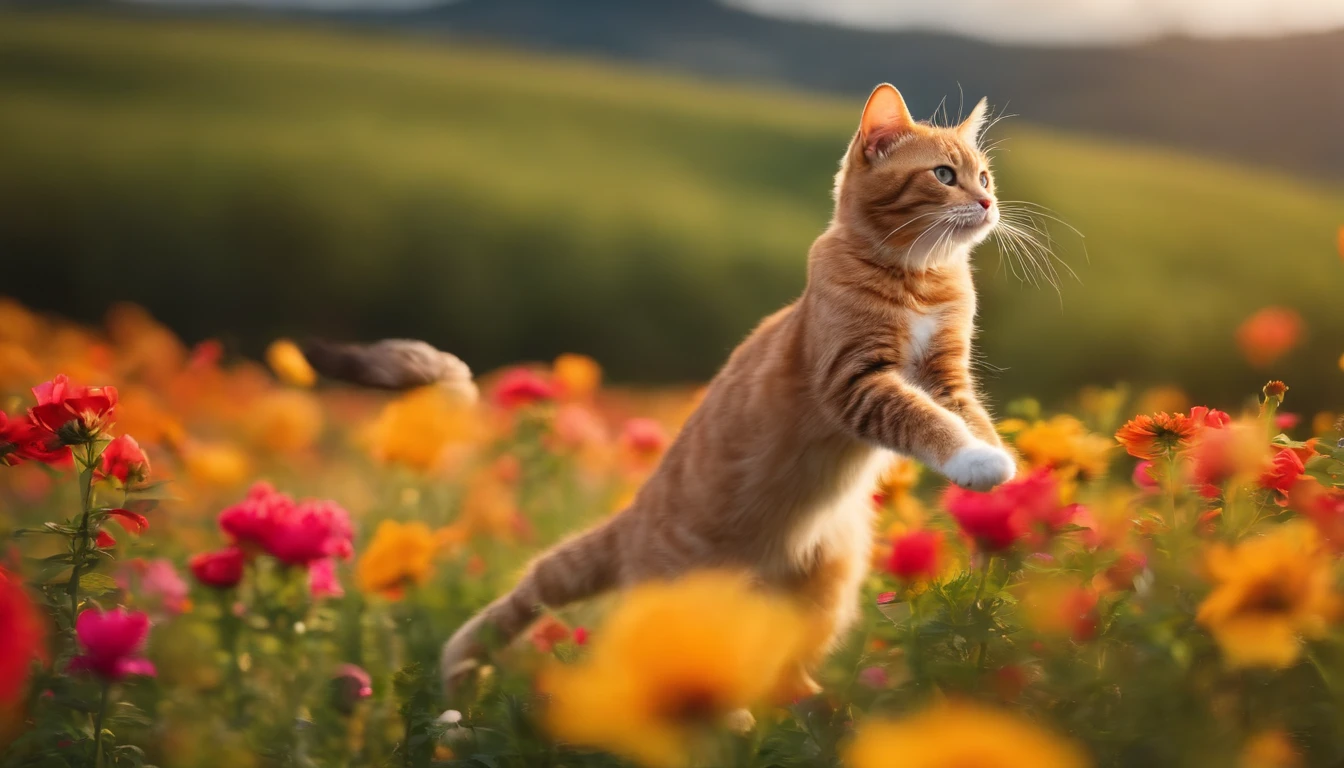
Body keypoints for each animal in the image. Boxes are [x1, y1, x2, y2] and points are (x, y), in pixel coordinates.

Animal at [435, 85, 1010, 704]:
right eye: (945, 175)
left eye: (984, 176)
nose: (987, 203)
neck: (918, 281)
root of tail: (635, 516)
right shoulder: (856, 383)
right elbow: (925, 420)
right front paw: (975, 461)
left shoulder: (945, 377)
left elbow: (968, 416)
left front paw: (997, 472)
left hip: (824, 587)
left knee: (782, 669)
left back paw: (815, 707)